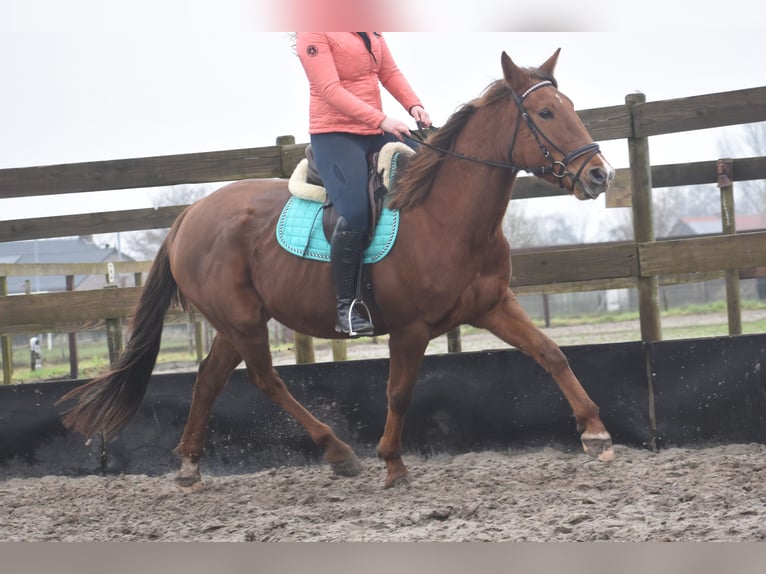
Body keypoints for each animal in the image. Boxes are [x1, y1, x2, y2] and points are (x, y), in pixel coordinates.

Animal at [60, 49, 616, 490]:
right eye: (546, 112)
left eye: (571, 109)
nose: (599, 175)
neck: (442, 214)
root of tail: (188, 216)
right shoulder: (411, 329)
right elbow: (398, 392)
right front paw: (393, 464)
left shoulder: (493, 306)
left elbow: (551, 354)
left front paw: (596, 432)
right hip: (242, 321)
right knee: (265, 380)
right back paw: (338, 452)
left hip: (235, 323)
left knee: (209, 379)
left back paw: (190, 467)